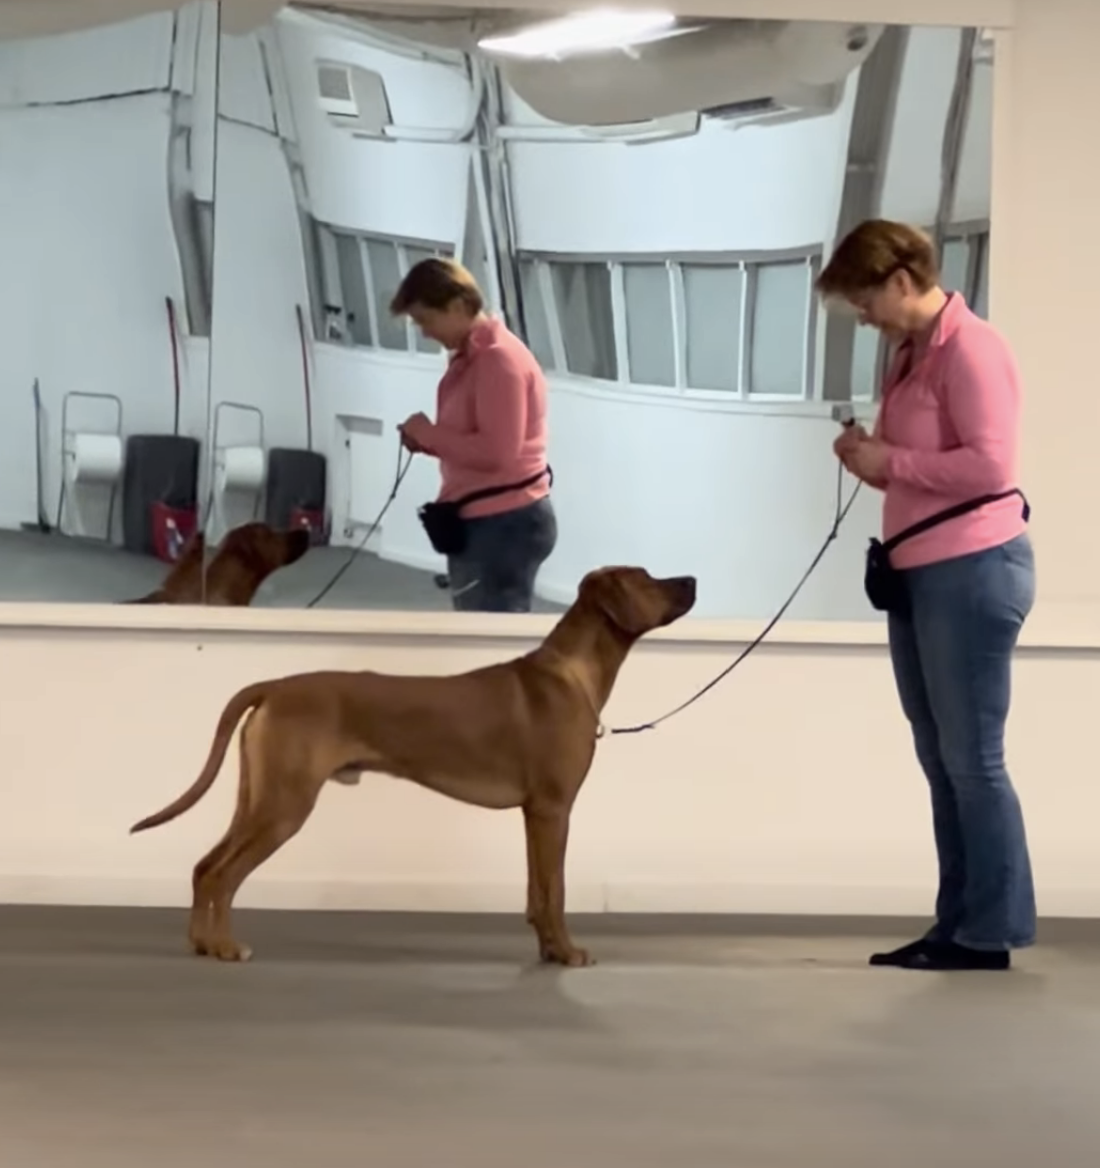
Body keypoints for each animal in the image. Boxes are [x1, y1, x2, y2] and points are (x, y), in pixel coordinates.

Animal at [129, 566, 697, 967]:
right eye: (648, 576)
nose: (692, 580)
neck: (571, 673)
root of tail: (274, 687)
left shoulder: (534, 814)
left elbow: (537, 891)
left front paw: (548, 950)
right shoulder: (553, 810)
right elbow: (554, 890)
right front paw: (567, 952)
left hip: (257, 797)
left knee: (205, 866)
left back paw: (202, 943)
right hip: (284, 805)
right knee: (224, 874)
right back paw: (227, 947)